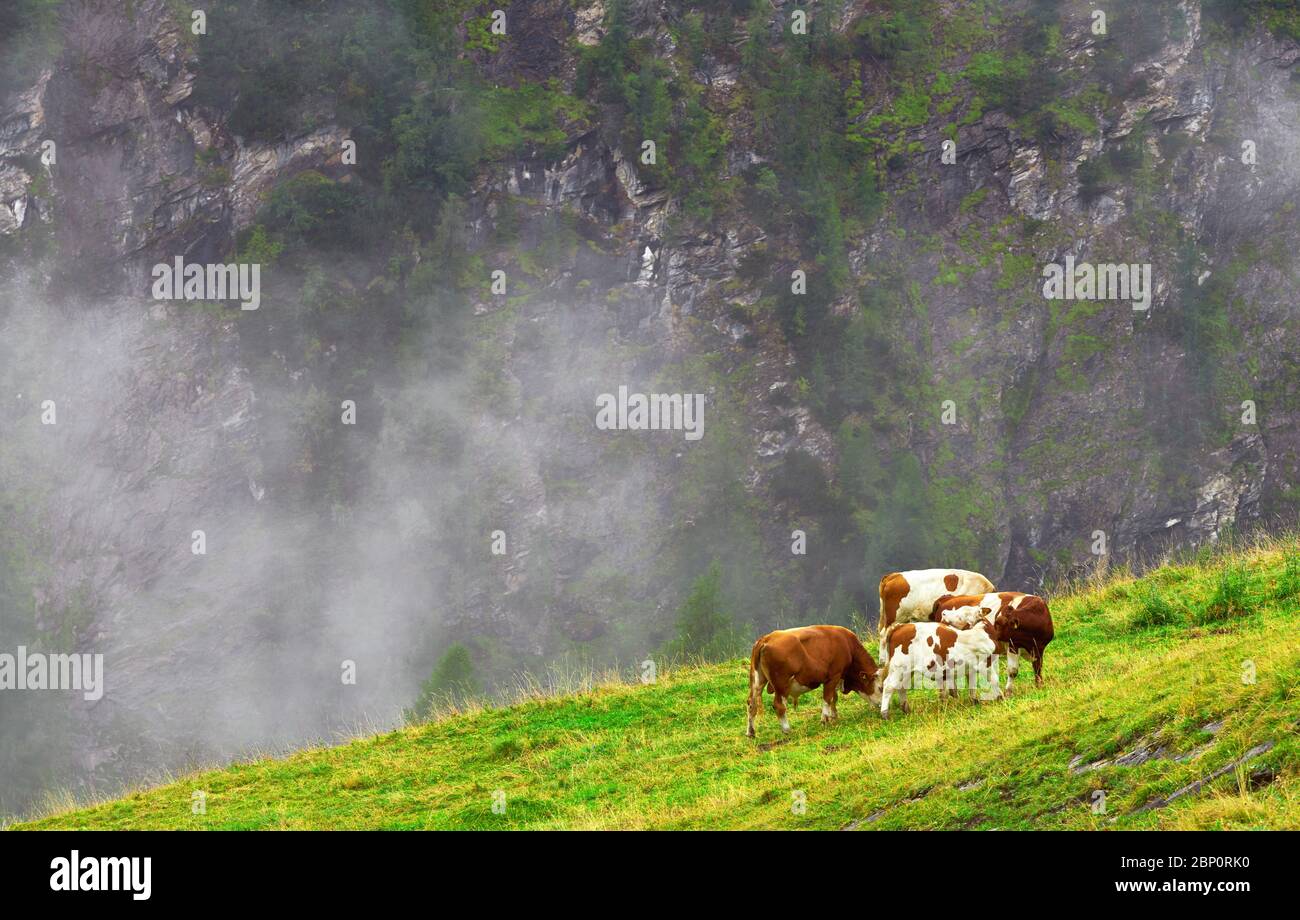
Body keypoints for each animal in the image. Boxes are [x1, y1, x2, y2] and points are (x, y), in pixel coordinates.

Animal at [748, 621, 878, 738]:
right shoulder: (834, 675)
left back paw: (751, 732)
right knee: (779, 706)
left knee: (751, 703)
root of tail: (766, 638)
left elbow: (833, 698)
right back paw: (787, 729)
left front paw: (834, 716)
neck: (848, 645)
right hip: (781, 684)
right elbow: (827, 698)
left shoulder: (836, 678)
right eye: (880, 687)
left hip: (757, 681)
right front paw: (825, 720)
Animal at [878, 618, 1008, 717]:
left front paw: (975, 702)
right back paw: (885, 714)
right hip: (898, 668)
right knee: (888, 686)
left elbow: (972, 687)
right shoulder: (985, 664)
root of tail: (900, 626)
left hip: (907, 671)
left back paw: (906, 710)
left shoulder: (970, 670)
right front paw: (1001, 698)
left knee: (901, 687)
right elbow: (995, 680)